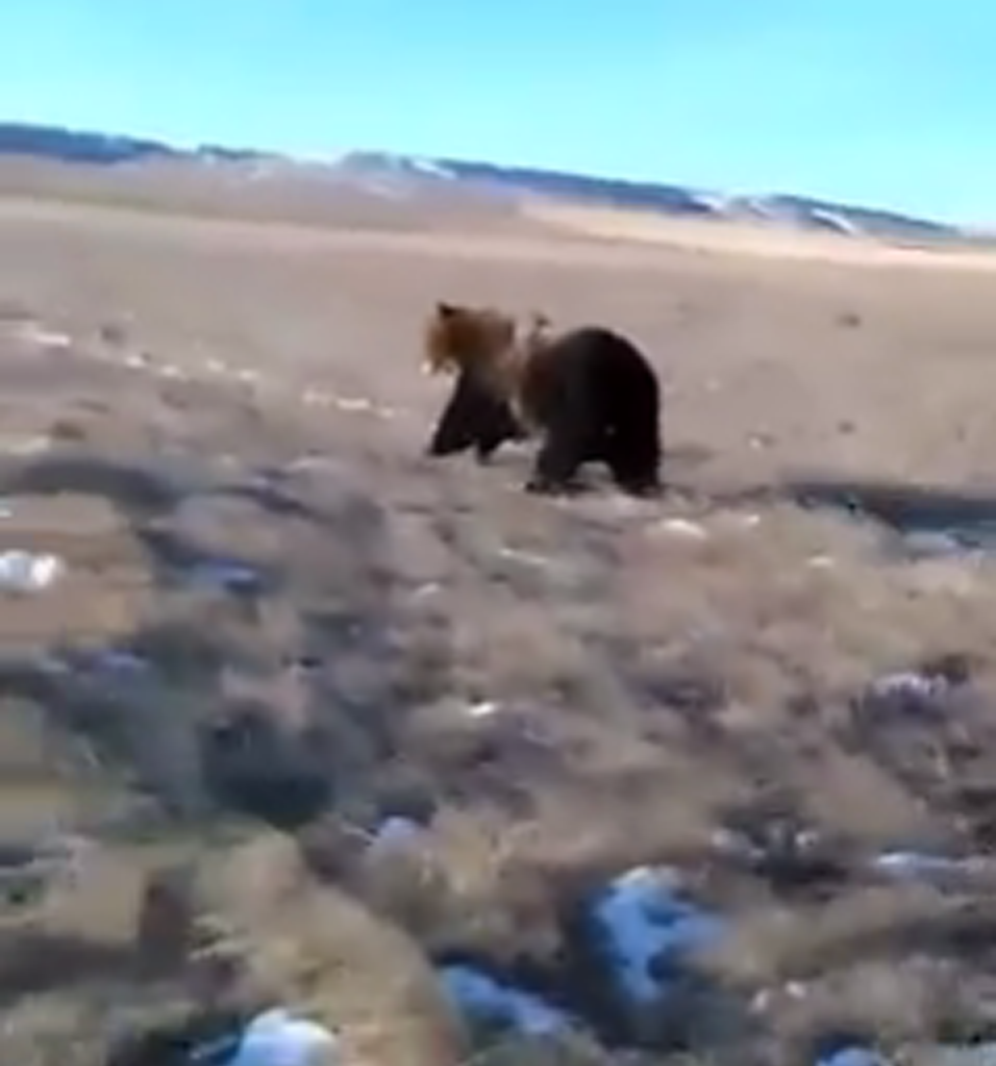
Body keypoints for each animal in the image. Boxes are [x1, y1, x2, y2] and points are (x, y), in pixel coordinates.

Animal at [420, 302, 661, 496]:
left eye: (430, 338)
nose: (426, 366)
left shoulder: (493, 386)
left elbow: (465, 416)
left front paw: (440, 446)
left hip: (589, 390)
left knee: (567, 443)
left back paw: (543, 483)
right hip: (637, 399)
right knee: (635, 442)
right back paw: (638, 481)